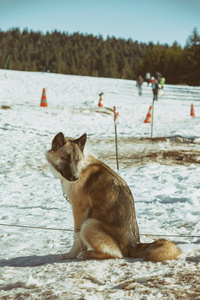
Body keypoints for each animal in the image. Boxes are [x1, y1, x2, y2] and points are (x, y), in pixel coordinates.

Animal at [46, 132, 180, 262]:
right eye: (65, 158)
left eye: (77, 160)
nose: (75, 177)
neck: (82, 167)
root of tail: (134, 245)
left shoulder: (79, 209)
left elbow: (76, 235)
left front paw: (71, 254)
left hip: (89, 224)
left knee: (117, 254)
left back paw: (86, 254)